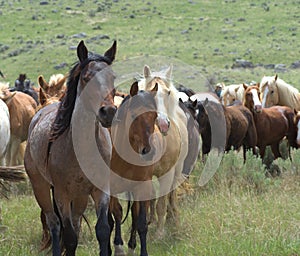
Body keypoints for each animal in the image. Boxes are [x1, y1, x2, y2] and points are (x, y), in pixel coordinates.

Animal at [24, 40, 118, 256]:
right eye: (86, 77)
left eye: (112, 77)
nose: (108, 112)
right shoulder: (61, 195)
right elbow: (69, 236)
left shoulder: (100, 190)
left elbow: (102, 229)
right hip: (41, 188)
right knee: (54, 223)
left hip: (81, 196)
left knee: (75, 222)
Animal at [109, 81, 158, 256]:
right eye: (132, 115)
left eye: (155, 116)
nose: (148, 151)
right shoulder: (111, 188)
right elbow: (116, 212)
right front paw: (118, 246)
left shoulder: (142, 186)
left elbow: (141, 221)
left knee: (135, 214)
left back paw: (131, 245)